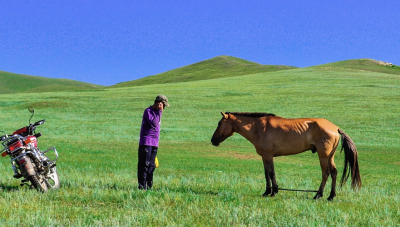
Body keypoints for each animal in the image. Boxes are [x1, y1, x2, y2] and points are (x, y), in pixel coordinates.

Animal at [211, 111, 360, 200]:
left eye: (220, 123)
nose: (213, 140)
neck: (258, 127)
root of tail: (335, 128)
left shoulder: (268, 156)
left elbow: (271, 173)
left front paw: (274, 191)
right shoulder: (264, 156)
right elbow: (266, 174)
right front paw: (267, 191)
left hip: (323, 155)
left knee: (326, 173)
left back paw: (318, 195)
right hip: (330, 156)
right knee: (334, 172)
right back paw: (331, 196)